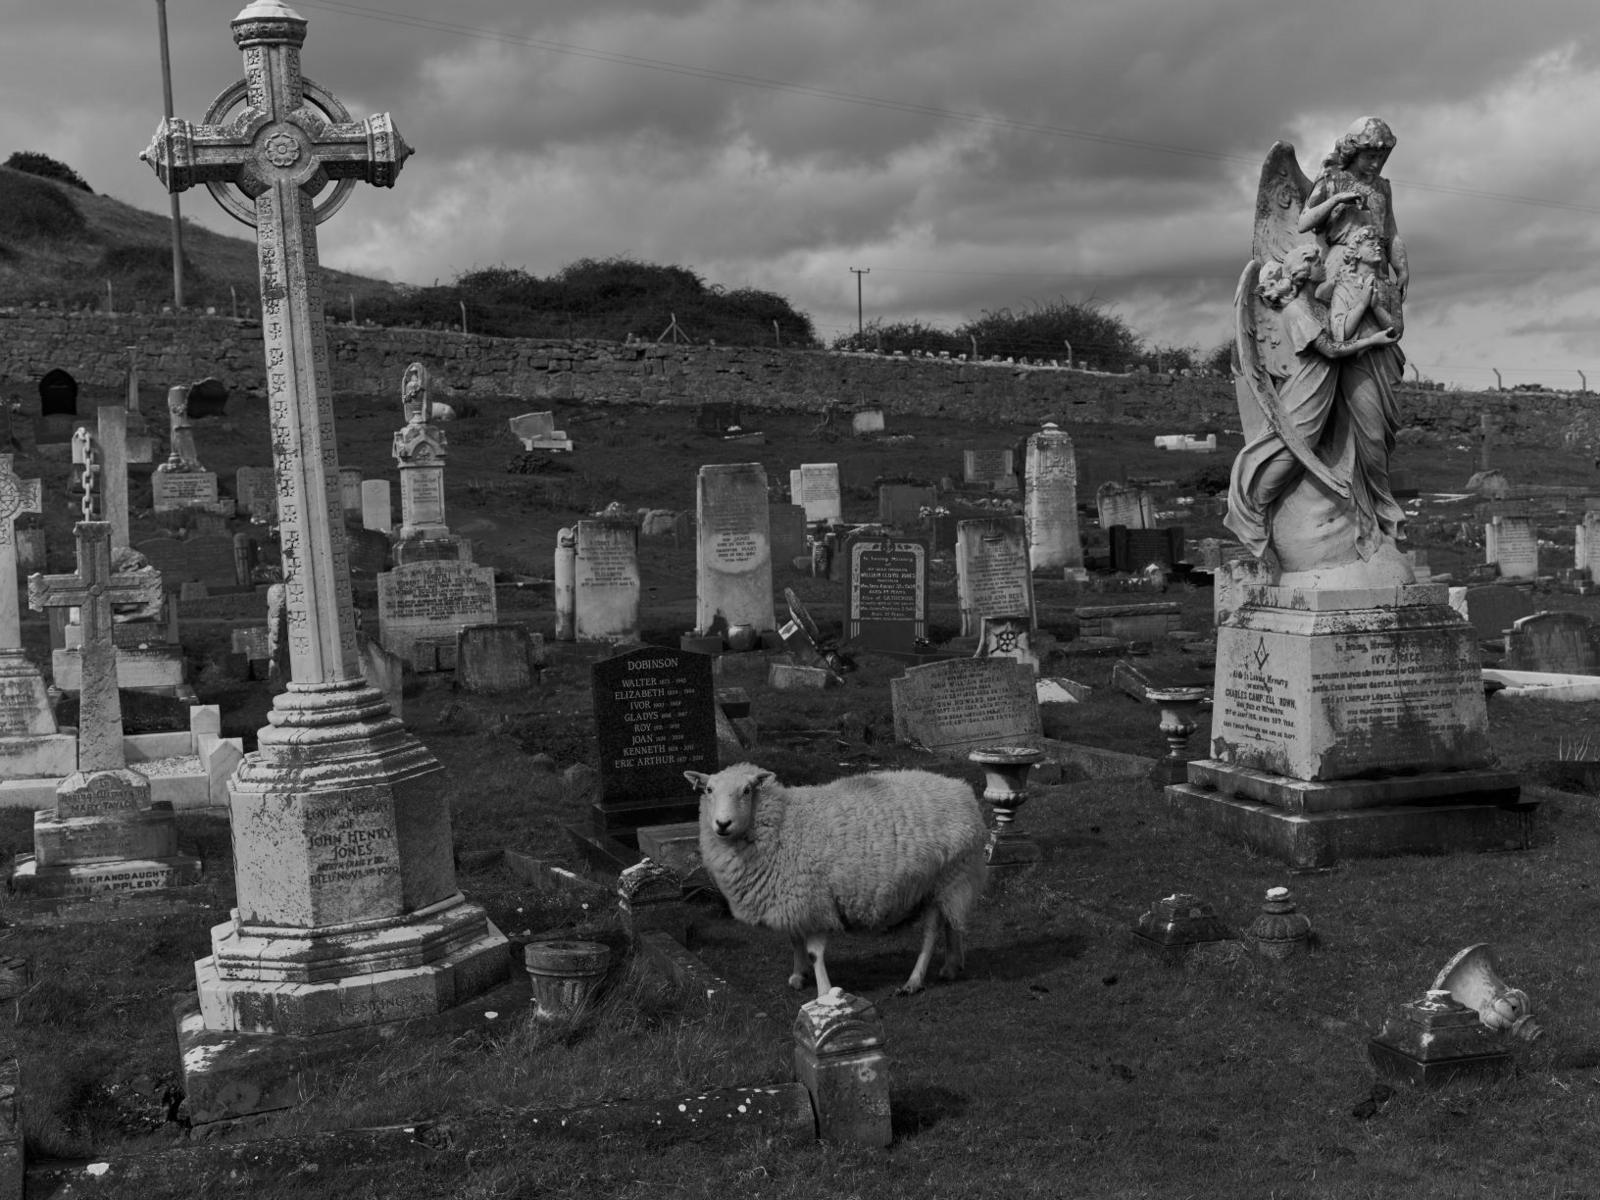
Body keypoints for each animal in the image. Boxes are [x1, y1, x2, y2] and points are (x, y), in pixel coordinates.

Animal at [684, 764, 985, 998]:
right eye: (708, 790)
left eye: (747, 790)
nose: (722, 824)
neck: (783, 824)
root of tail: (961, 789)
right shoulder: (793, 898)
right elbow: (794, 939)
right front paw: (798, 975)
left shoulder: (815, 900)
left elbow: (814, 952)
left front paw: (824, 990)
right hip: (948, 883)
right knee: (953, 922)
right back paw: (952, 966)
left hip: (947, 877)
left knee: (932, 932)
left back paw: (914, 980)